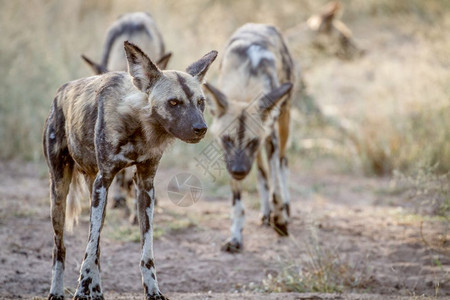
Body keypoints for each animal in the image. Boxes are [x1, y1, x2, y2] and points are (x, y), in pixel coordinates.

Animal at [43, 41, 217, 298]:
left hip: (95, 192)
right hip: (60, 192)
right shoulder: (104, 180)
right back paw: (58, 291)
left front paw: (153, 291)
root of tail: (60, 92)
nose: (201, 128)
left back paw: (97, 291)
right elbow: (89, 247)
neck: (139, 127)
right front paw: (82, 290)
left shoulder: (145, 186)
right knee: (61, 247)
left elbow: (146, 251)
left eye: (201, 102)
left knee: (97, 246)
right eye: (173, 103)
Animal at [204, 24, 296, 253]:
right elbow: (237, 205)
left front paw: (281, 221)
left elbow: (276, 188)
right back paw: (266, 213)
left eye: (252, 142)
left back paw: (285, 208)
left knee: (282, 165)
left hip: (284, 123)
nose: (239, 171)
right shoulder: (228, 158)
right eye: (227, 140)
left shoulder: (269, 140)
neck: (245, 90)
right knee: (262, 174)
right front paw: (236, 237)